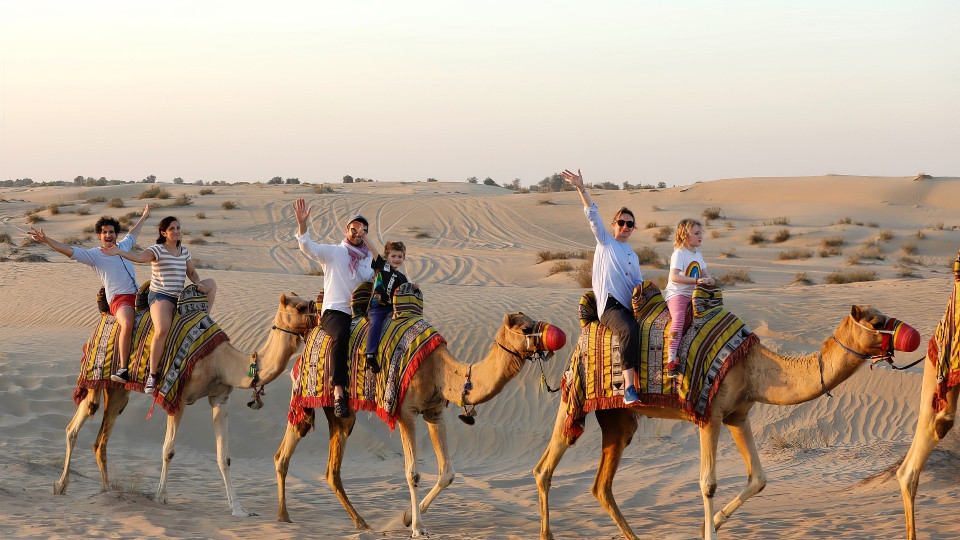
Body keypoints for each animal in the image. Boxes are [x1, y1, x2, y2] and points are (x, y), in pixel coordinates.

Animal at [55, 292, 316, 517]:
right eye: (300, 307)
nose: (318, 316)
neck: (220, 361)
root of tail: (103, 317)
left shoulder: (220, 398)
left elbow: (224, 457)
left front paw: (239, 509)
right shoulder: (176, 398)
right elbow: (168, 450)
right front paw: (161, 497)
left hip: (118, 391)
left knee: (101, 441)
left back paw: (107, 491)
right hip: (96, 377)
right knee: (73, 427)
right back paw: (61, 485)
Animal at [274, 311, 567, 537]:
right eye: (525, 328)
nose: (556, 336)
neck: (440, 370)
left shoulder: (434, 412)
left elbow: (448, 472)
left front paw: (405, 517)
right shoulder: (407, 413)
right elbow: (413, 472)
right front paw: (417, 527)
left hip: (342, 413)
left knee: (330, 469)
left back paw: (360, 522)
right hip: (308, 395)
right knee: (286, 450)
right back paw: (285, 517)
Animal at [533, 304, 919, 540]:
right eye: (875, 322)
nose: (909, 335)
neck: (755, 367)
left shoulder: (738, 415)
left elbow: (760, 479)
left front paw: (714, 522)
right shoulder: (712, 414)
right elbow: (708, 483)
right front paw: (709, 531)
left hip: (618, 418)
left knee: (601, 485)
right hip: (574, 399)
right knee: (546, 467)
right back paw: (547, 533)